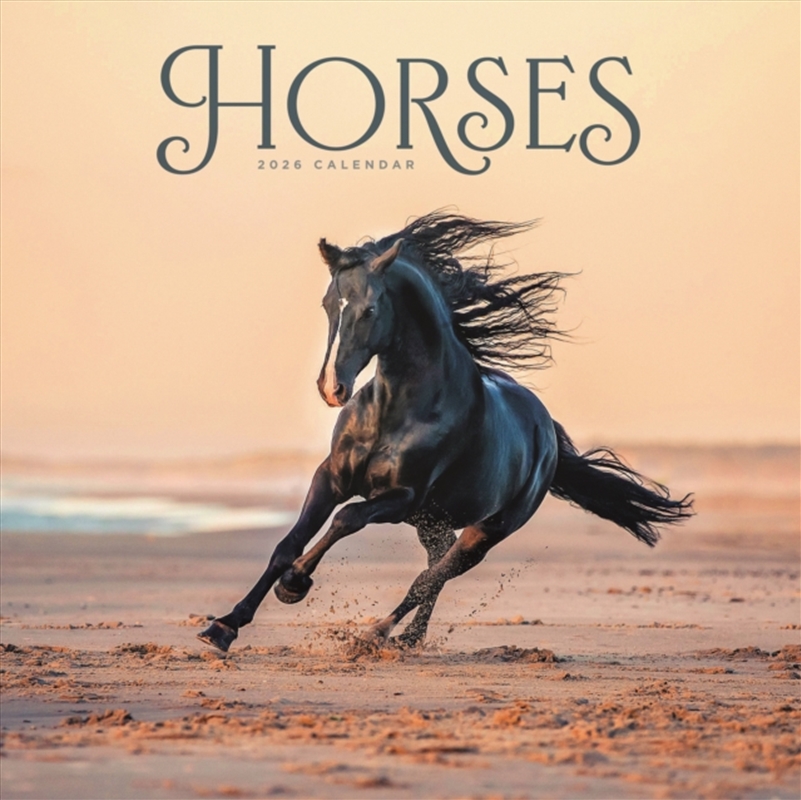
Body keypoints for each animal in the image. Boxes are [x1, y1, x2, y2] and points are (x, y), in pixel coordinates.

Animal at [199, 212, 693, 653]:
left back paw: (376, 635)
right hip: (432, 522)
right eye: (326, 304)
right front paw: (224, 626)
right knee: (435, 568)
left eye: (370, 309)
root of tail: (546, 431)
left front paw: (296, 583)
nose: (332, 388)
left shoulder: (402, 496)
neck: (397, 410)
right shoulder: (332, 477)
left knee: (433, 575)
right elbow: (288, 543)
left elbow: (346, 519)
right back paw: (409, 639)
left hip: (486, 530)